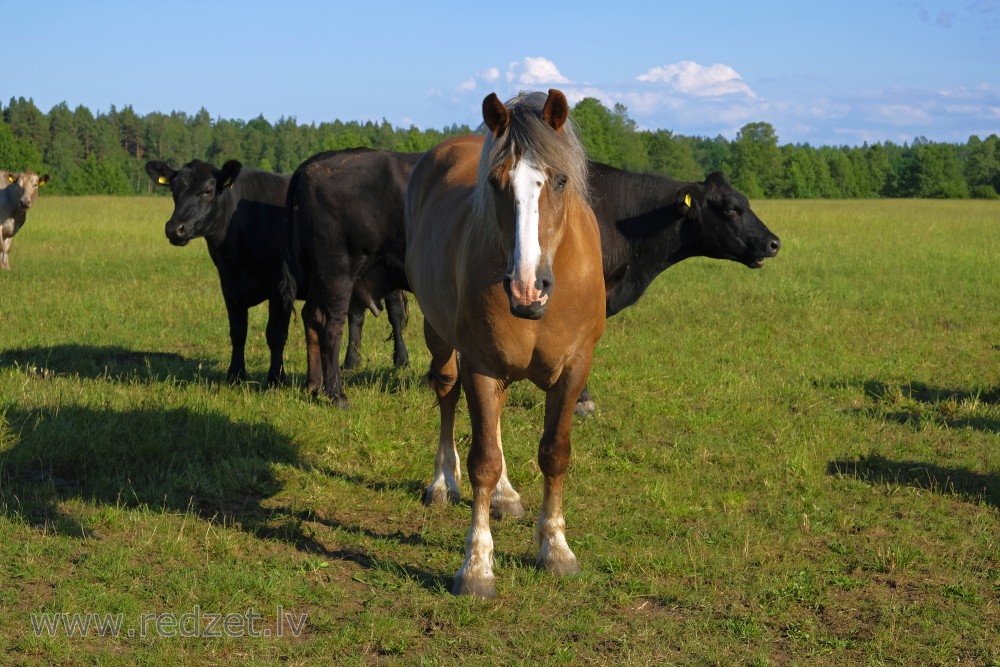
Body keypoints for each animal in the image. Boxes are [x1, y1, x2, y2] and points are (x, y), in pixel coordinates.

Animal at [144, 160, 300, 386]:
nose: (174, 228)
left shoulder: (281, 287)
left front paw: (276, 380)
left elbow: (276, 335)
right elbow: (238, 332)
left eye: (208, 191)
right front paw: (235, 375)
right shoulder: (229, 286)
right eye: (174, 190)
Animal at [282, 147, 422, 408]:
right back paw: (337, 395)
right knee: (330, 324)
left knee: (311, 316)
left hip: (321, 278)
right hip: (339, 272)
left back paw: (314, 385)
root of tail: (310, 166)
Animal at [402, 90, 604, 600]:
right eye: (496, 182)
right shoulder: (480, 364)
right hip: (441, 340)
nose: (526, 288)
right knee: (447, 396)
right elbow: (483, 461)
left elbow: (555, 453)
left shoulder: (575, 369)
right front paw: (476, 567)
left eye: (560, 179)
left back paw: (507, 496)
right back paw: (442, 483)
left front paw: (555, 549)